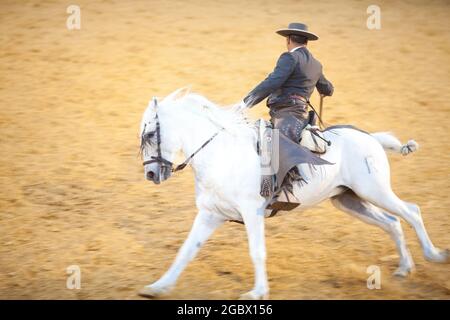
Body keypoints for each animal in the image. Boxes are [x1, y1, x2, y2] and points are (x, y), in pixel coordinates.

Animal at [139, 89, 448, 300]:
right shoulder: (210, 214)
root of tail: (370, 137)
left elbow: (257, 251)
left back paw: (434, 255)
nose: (151, 174)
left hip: (374, 191)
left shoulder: (252, 213)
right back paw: (404, 268)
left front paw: (257, 292)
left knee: (411, 212)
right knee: (392, 223)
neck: (220, 153)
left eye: (150, 134)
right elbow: (186, 250)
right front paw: (158, 287)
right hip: (350, 200)